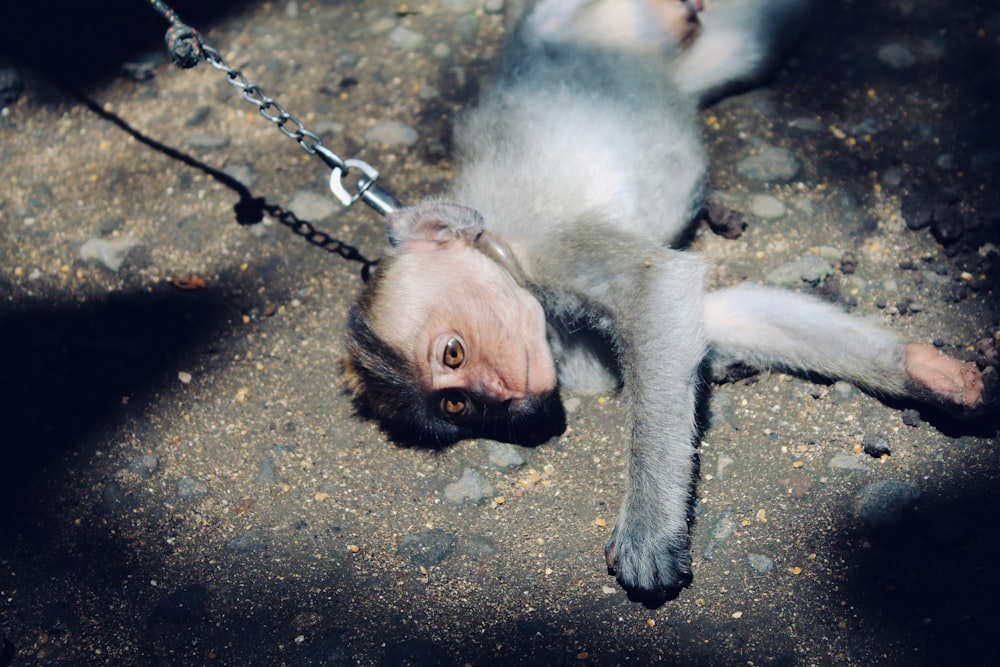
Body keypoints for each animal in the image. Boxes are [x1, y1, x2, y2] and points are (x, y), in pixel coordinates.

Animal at [342, 0, 992, 604]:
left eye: (452, 354)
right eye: (459, 407)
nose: (506, 400)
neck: (506, 257)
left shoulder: (551, 247)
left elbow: (658, 291)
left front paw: (648, 532)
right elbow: (710, 315)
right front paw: (924, 373)